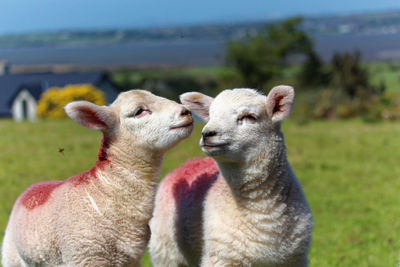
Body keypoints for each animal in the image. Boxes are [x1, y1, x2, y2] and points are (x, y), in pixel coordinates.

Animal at [0, 90, 194, 267]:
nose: (186, 112)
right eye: (139, 111)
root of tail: (34, 187)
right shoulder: (85, 255)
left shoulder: (131, 260)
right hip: (11, 255)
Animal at [149, 87, 312, 266]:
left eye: (250, 117)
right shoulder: (222, 257)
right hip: (166, 251)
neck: (262, 212)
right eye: (210, 115)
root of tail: (189, 163)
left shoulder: (294, 259)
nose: (207, 133)